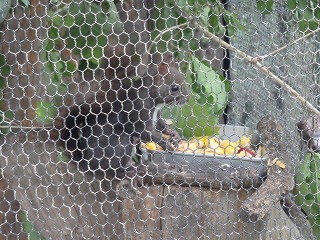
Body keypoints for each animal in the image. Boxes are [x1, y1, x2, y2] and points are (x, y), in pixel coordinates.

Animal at [57, 52, 191, 184]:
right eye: (174, 88)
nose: (187, 98)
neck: (152, 96)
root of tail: (87, 164)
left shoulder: (155, 116)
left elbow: (160, 125)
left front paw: (173, 133)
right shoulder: (137, 109)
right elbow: (143, 131)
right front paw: (165, 143)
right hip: (120, 144)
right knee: (110, 172)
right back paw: (127, 172)